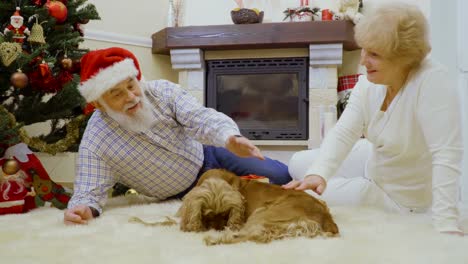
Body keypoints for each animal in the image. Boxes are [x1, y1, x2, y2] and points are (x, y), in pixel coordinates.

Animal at [130, 169, 338, 245]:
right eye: (208, 215)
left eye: (226, 215)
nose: (217, 227)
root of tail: (326, 217)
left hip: (264, 214)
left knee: (252, 235)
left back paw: (215, 239)